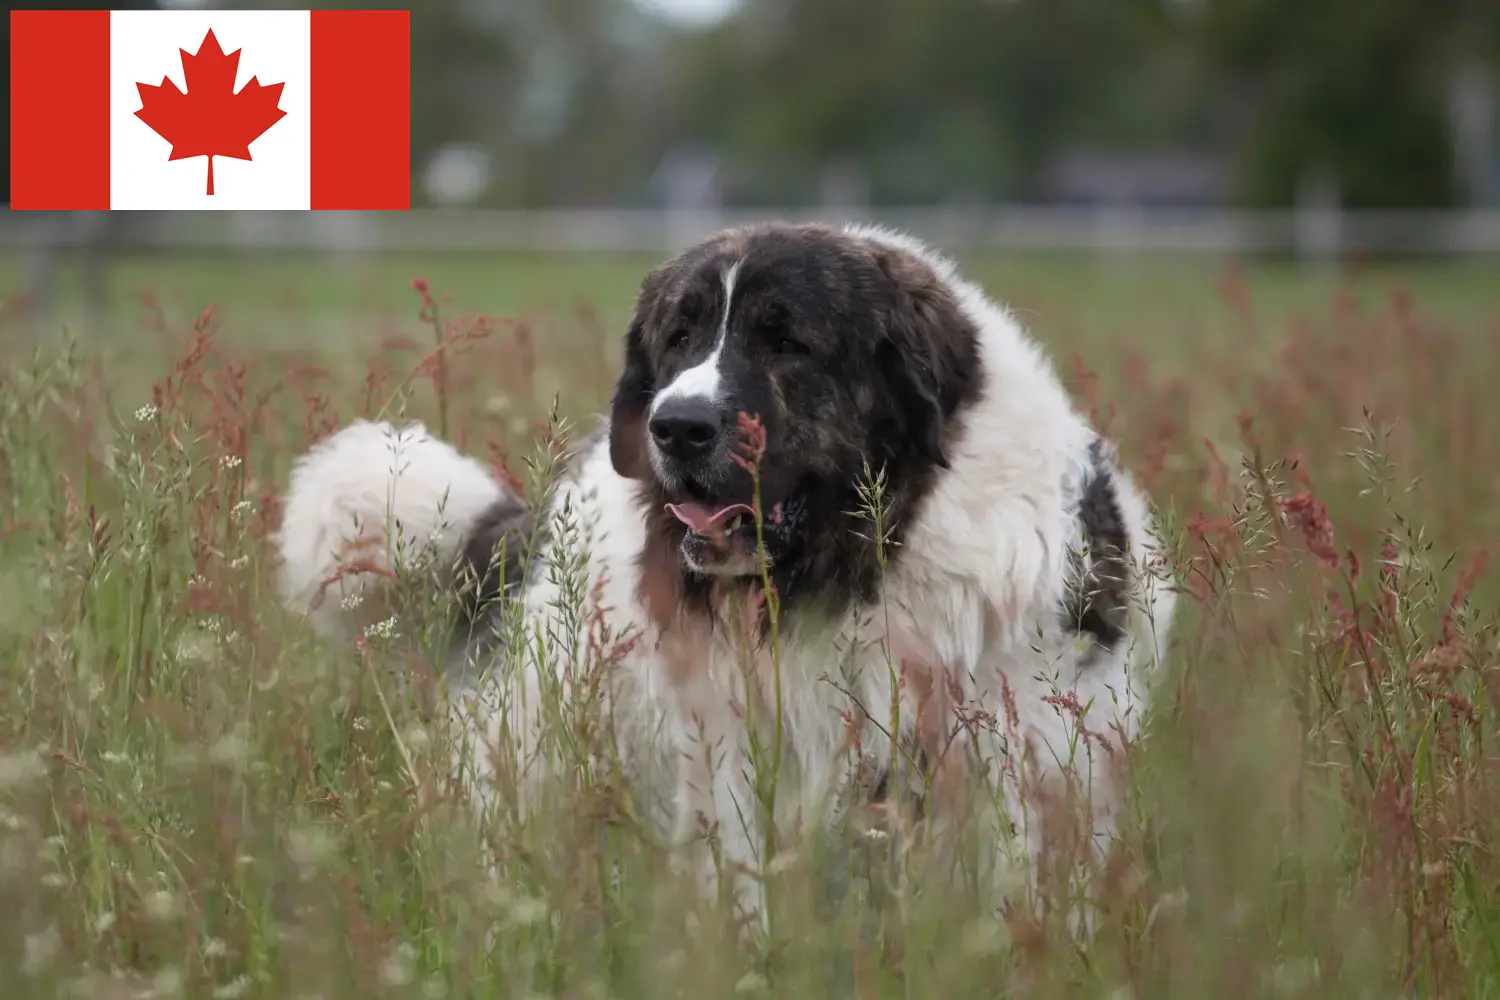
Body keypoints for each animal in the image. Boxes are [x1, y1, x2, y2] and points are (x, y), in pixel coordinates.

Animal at [276, 223, 1176, 935]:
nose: (675, 426)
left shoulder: (1021, 753)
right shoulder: (734, 762)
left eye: (787, 342)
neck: (858, 568)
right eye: (679, 337)